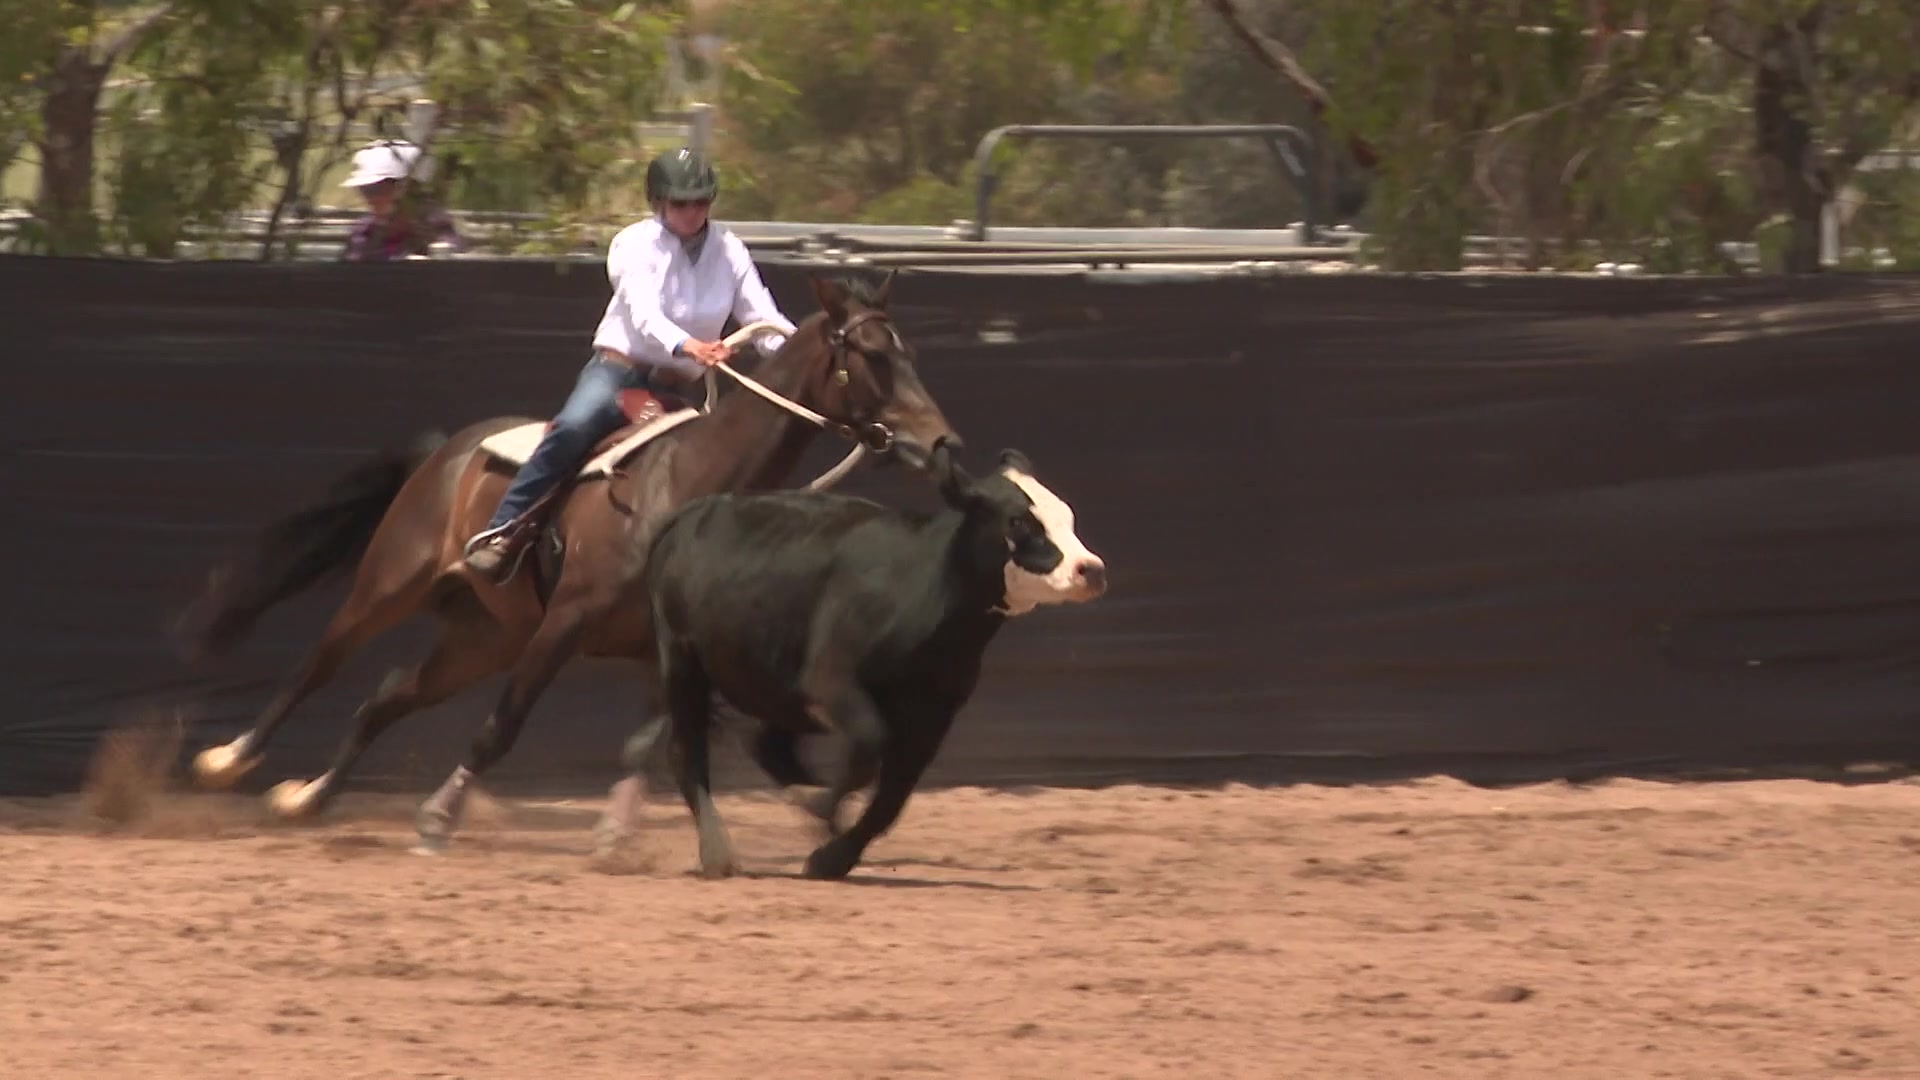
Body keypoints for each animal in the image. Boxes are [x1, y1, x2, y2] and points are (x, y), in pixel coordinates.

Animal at [170, 269, 960, 849]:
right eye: (872, 356)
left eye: (911, 354)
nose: (941, 443)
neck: (683, 481)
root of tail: (446, 452)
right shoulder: (564, 625)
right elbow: (503, 727)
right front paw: (437, 818)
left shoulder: (662, 647)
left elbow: (648, 741)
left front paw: (615, 834)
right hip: (392, 586)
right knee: (320, 665)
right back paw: (227, 761)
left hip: (484, 635)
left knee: (386, 696)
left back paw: (305, 800)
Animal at [641, 443, 1105, 876]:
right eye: (1019, 522)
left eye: (1068, 517)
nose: (1091, 569)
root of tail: (693, 513)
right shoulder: (832, 679)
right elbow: (868, 747)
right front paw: (816, 803)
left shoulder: (933, 714)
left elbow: (892, 797)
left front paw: (832, 856)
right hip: (681, 661)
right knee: (686, 751)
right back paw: (717, 851)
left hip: (778, 687)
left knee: (767, 745)